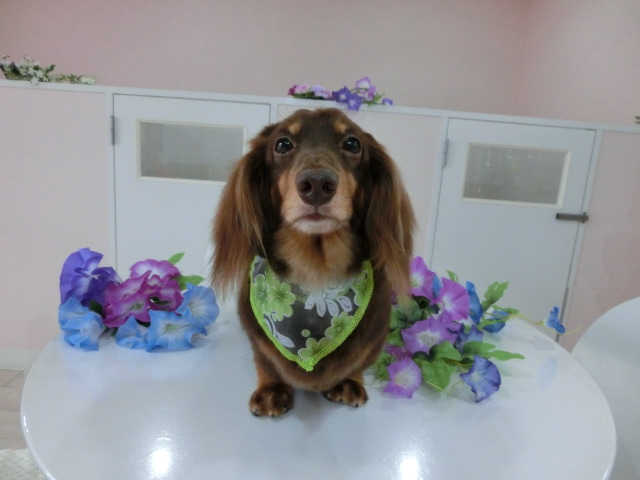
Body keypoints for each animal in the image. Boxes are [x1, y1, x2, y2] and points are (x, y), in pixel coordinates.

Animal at [212, 108, 415, 417]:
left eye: (352, 143)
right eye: (282, 144)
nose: (317, 184)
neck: (316, 277)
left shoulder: (375, 335)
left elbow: (359, 362)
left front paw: (349, 381)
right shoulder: (257, 337)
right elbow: (266, 361)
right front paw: (272, 389)